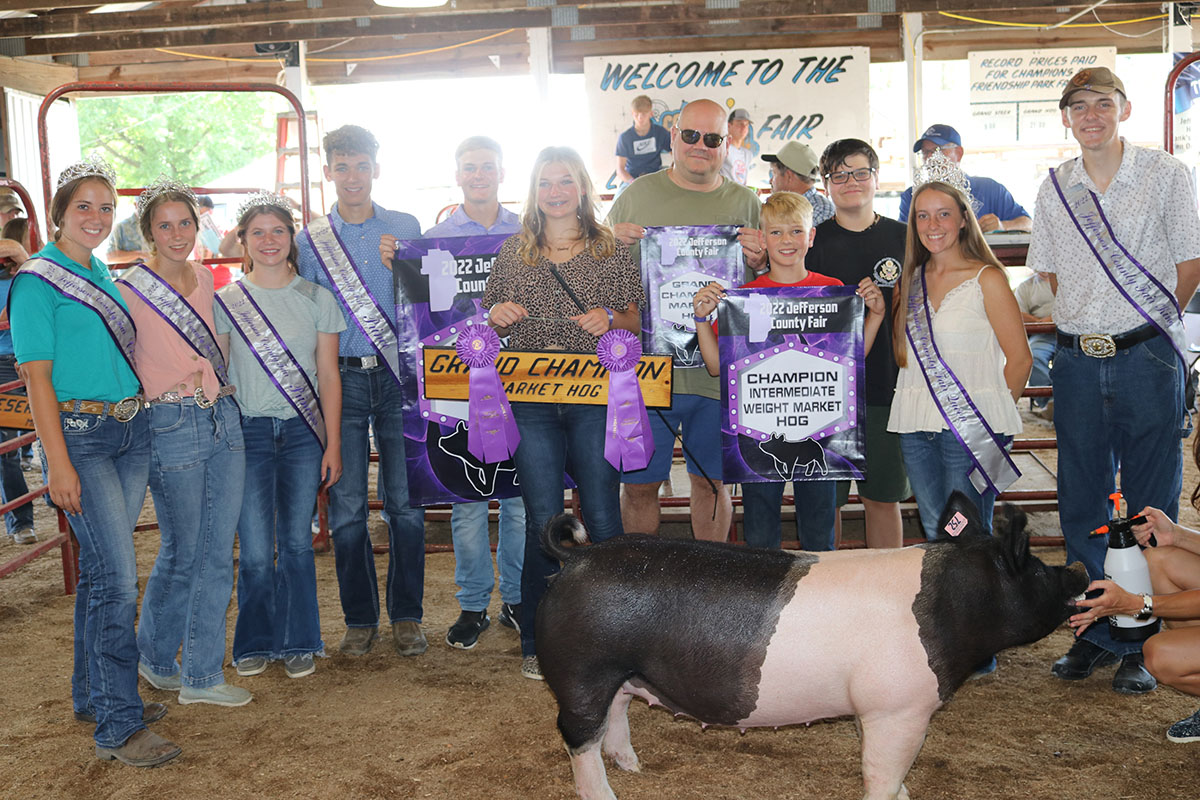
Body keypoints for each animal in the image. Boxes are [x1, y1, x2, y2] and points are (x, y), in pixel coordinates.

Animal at [535, 492, 1089, 800]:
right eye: (1036, 568)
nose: (1080, 569)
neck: (954, 607)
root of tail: (577, 557)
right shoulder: (898, 707)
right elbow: (883, 769)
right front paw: (895, 794)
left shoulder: (880, 708)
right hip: (585, 669)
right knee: (578, 734)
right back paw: (606, 794)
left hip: (621, 670)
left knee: (617, 711)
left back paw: (634, 766)